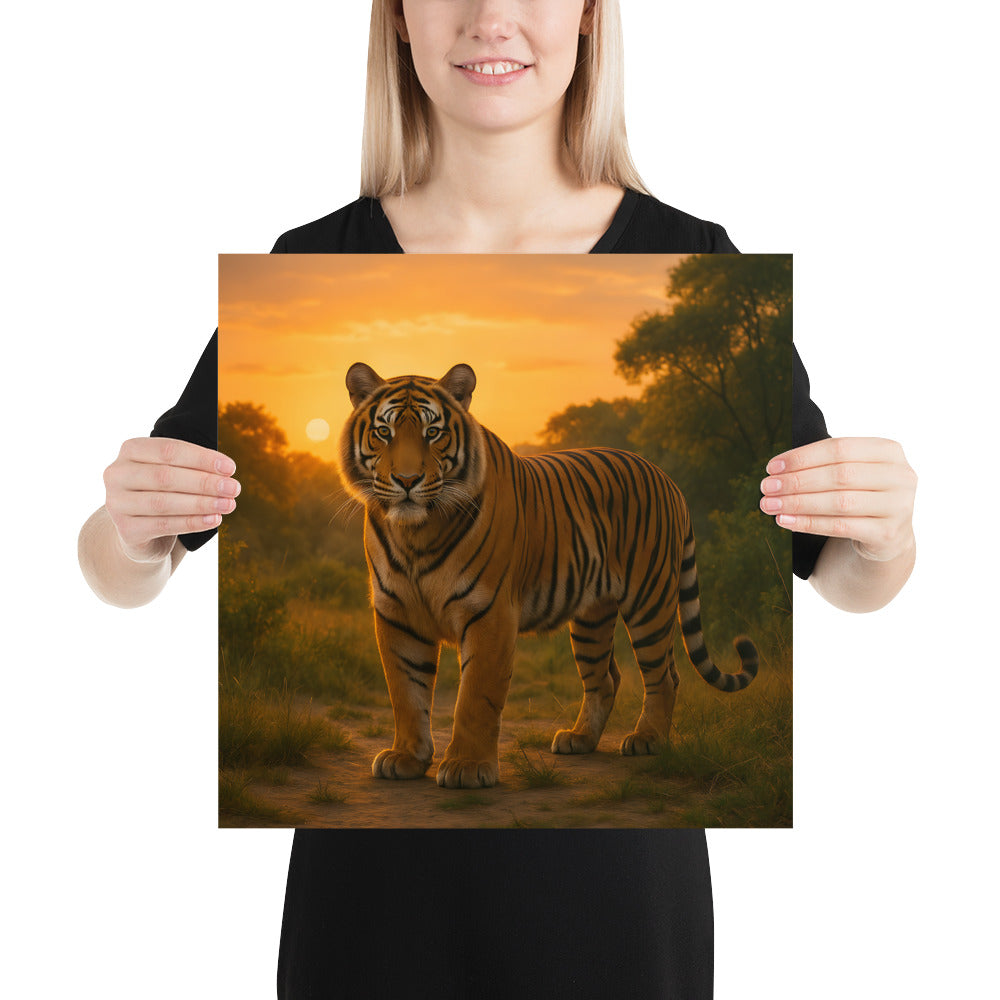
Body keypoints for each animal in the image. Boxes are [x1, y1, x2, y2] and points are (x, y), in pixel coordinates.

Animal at [339, 361, 759, 789]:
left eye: (433, 433)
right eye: (384, 432)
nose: (407, 481)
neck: (415, 533)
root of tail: (666, 477)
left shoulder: (489, 612)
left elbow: (475, 697)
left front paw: (467, 767)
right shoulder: (396, 613)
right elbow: (406, 692)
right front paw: (406, 757)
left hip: (650, 601)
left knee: (664, 675)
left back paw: (647, 739)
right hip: (592, 617)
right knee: (605, 678)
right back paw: (579, 739)